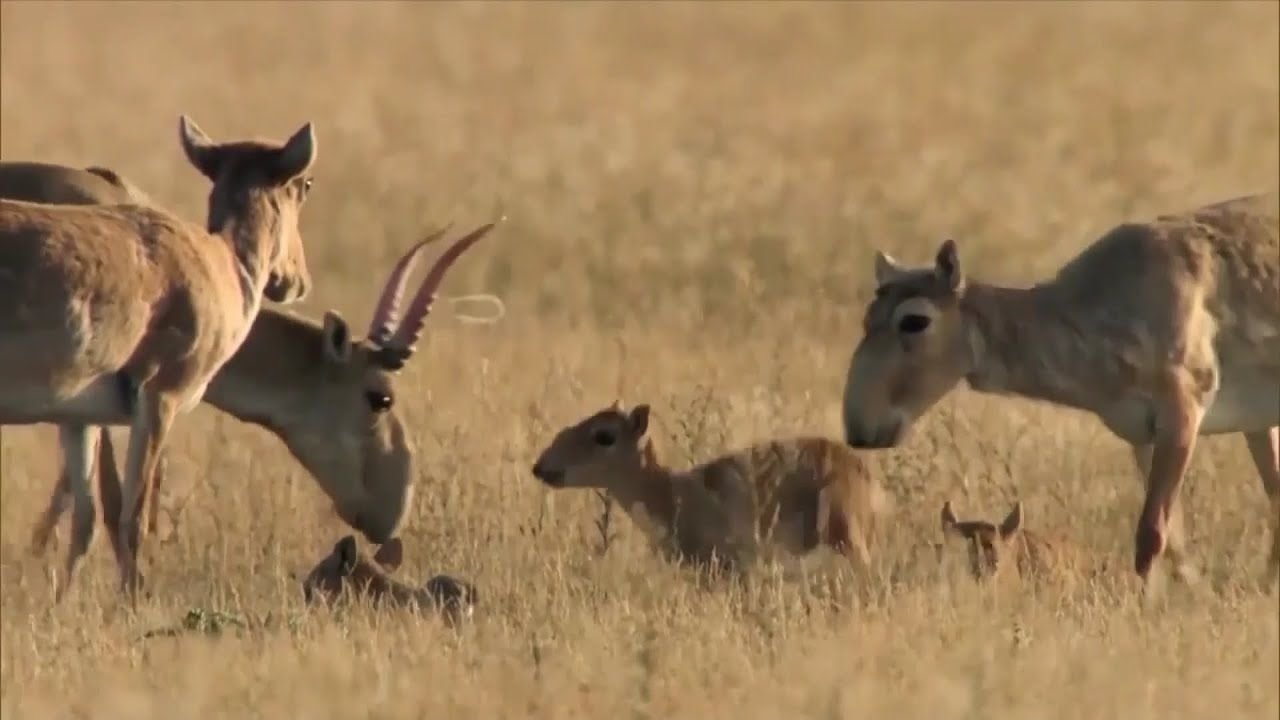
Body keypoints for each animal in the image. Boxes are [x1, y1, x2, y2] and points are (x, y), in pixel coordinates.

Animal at [0, 114, 320, 597]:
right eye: (304, 184)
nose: (297, 282)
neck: (224, 262)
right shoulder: (159, 399)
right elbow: (132, 519)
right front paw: (131, 601)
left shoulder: (77, 418)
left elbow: (86, 519)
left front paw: (63, 601)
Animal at [839, 190, 1280, 589]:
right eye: (867, 316)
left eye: (914, 320)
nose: (858, 427)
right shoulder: (1142, 434)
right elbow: (1171, 537)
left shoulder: (1183, 411)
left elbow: (1151, 532)